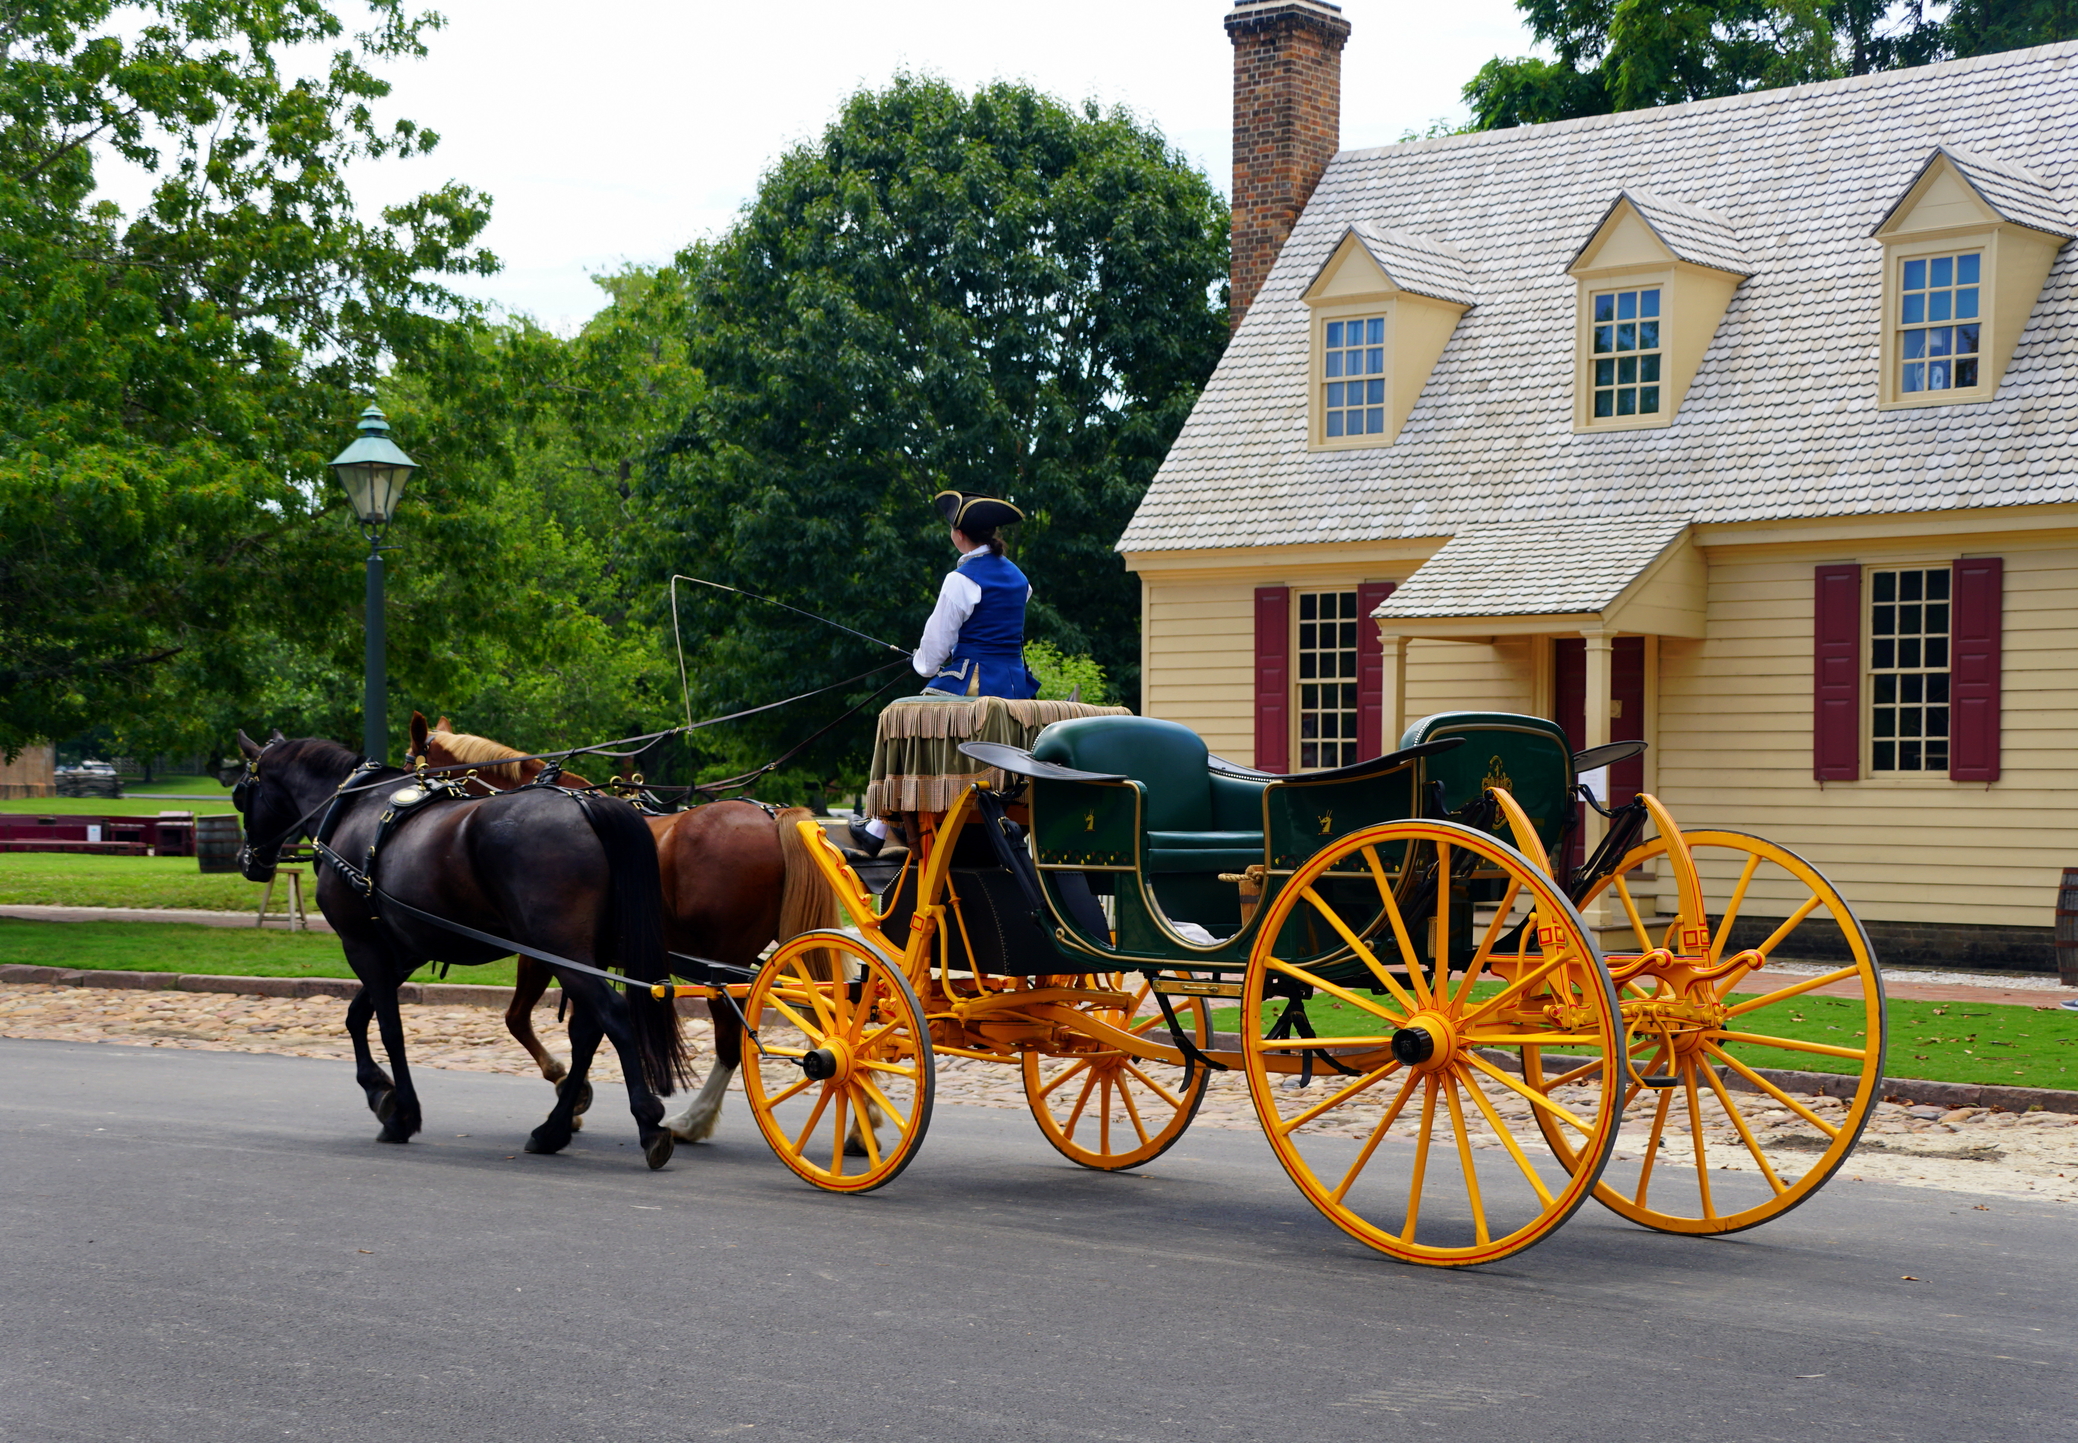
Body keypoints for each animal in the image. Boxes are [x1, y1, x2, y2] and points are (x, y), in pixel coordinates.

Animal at [234, 727, 689, 1172]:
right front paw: (382, 1092)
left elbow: (389, 1027)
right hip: (584, 954)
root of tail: (586, 806)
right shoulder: (403, 950)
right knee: (589, 1029)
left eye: (240, 794)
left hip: (560, 949)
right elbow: (357, 1015)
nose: (247, 861)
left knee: (612, 1015)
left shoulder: (361, 944)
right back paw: (553, 1129)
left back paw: (647, 1121)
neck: (354, 807)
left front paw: (401, 1112)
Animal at [407, 715, 843, 1156]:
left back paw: (693, 1120)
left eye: (413, 763)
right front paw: (570, 1098)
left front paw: (568, 1093)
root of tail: (773, 817)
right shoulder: (586, 956)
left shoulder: (541, 947)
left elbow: (518, 1019)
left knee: (731, 1039)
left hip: (725, 961)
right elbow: (582, 1026)